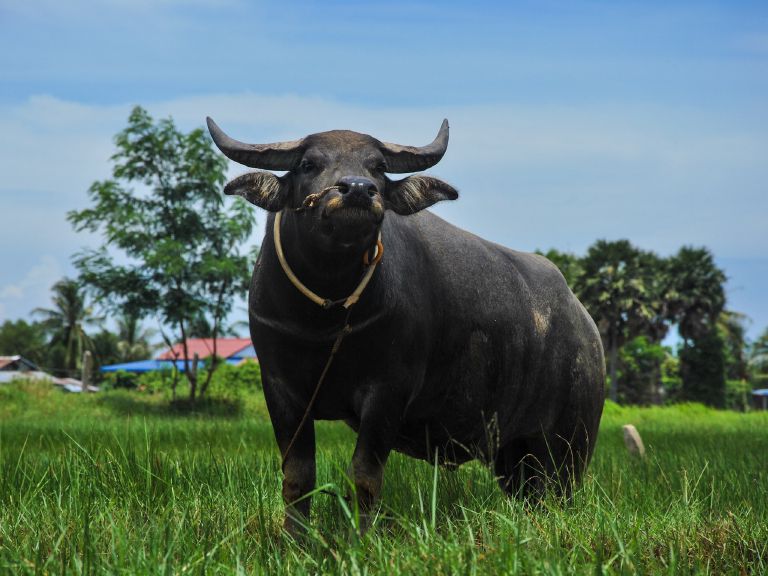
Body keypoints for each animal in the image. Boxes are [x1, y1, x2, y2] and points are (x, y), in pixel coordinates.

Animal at [206, 117, 605, 533]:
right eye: (307, 164)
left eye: (378, 167)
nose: (357, 190)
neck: (325, 318)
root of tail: (586, 325)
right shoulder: (279, 388)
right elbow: (298, 476)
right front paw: (295, 539)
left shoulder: (388, 391)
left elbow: (364, 475)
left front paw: (361, 537)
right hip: (514, 453)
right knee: (529, 493)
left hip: (568, 444)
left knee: (557, 490)